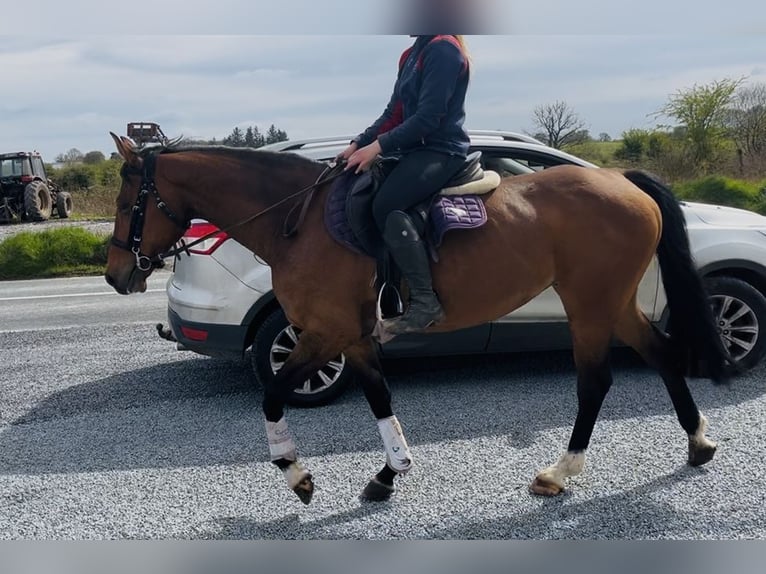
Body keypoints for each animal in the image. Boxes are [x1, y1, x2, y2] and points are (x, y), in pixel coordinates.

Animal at [105, 132, 732, 504]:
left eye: (127, 201)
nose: (116, 275)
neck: (295, 221)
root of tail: (621, 179)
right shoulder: (353, 336)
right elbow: (379, 398)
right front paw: (390, 472)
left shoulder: (325, 333)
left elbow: (274, 395)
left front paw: (297, 474)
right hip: (615, 303)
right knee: (661, 353)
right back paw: (698, 444)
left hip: (590, 305)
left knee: (596, 381)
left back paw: (559, 471)